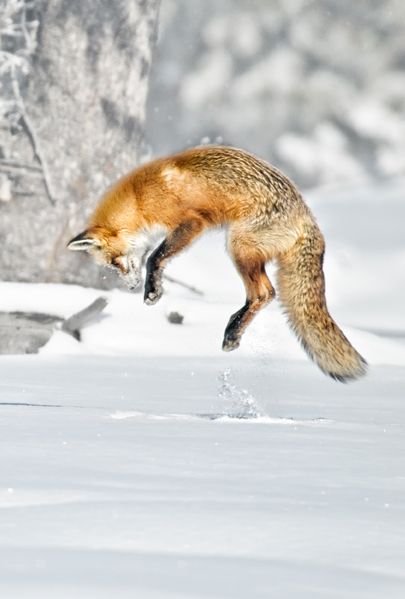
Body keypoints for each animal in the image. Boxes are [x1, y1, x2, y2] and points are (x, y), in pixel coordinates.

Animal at [67, 145, 366, 382]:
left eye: (115, 261)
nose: (130, 287)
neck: (140, 198)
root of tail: (307, 217)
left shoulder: (191, 223)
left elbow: (155, 257)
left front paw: (152, 291)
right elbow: (156, 258)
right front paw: (154, 289)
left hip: (238, 246)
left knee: (264, 293)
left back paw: (233, 332)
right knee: (265, 294)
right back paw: (233, 328)